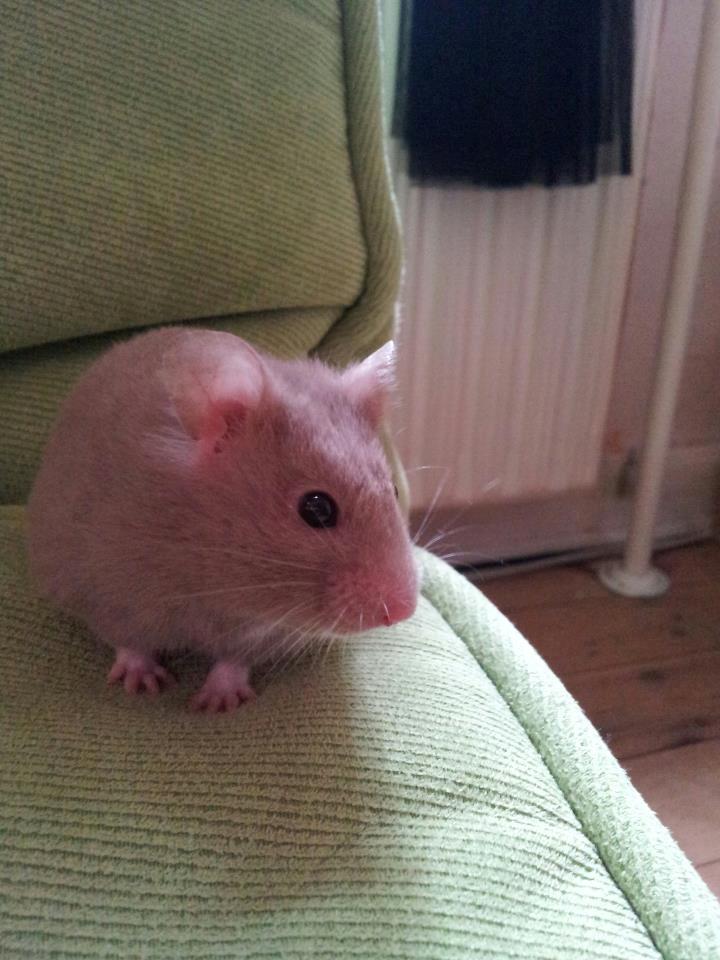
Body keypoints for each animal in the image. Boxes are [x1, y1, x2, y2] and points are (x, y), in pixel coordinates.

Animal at [27, 327, 419, 712]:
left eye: (394, 492)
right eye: (317, 508)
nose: (403, 612)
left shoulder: (265, 635)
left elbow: (234, 661)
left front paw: (216, 704)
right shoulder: (106, 592)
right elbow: (129, 642)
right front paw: (143, 685)